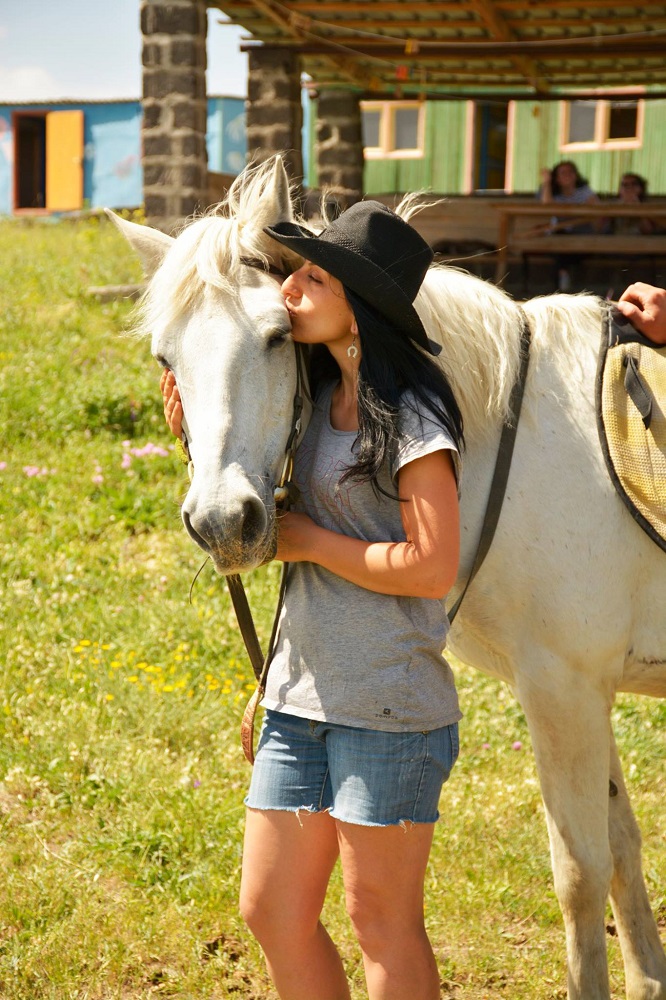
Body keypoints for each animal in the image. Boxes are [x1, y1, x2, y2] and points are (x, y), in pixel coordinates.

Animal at [110, 156, 664, 1000]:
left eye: (277, 336)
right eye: (166, 358)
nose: (224, 522)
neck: (511, 439)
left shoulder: (564, 688)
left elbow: (582, 873)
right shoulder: (588, 689)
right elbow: (627, 852)